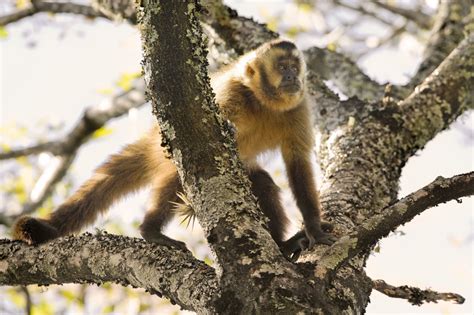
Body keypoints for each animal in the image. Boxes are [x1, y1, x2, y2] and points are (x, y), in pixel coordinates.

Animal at [12, 39, 336, 262]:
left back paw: (281, 245)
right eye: (282, 67)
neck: (262, 101)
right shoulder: (232, 91)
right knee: (180, 174)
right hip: (164, 146)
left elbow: (297, 163)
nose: (293, 77)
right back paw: (151, 232)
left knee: (262, 183)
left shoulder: (298, 105)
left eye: (295, 67)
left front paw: (313, 228)